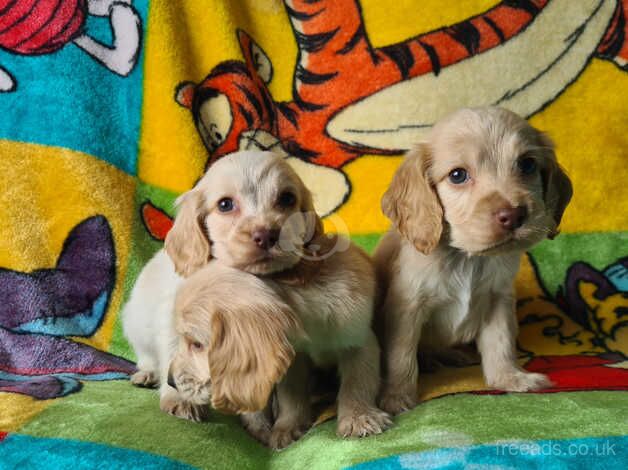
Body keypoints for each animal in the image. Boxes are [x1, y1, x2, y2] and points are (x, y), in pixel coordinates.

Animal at [166, 151, 392, 448]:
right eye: (225, 204)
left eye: (287, 199)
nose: (266, 235)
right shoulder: (293, 360)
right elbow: (291, 394)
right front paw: (287, 427)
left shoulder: (359, 341)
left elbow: (357, 383)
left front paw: (358, 418)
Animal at [372, 106, 576, 414]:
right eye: (457, 175)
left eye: (527, 165)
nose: (513, 215)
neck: (468, 258)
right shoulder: (406, 307)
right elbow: (401, 356)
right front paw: (396, 397)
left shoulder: (498, 300)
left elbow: (500, 342)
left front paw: (510, 378)